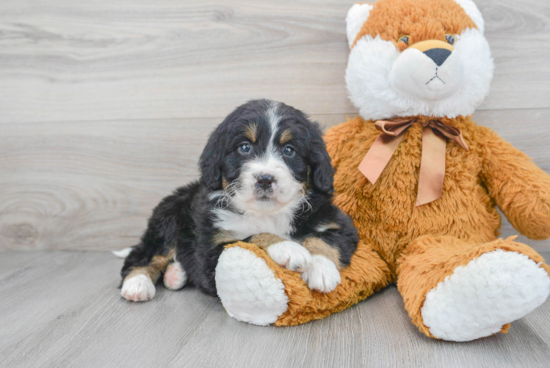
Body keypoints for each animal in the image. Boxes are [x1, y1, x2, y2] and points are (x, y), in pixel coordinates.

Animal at [118, 98, 360, 302]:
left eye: (289, 150)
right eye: (245, 147)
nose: (265, 179)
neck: (267, 214)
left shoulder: (339, 224)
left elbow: (323, 240)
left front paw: (322, 269)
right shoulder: (213, 253)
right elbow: (251, 237)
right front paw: (289, 249)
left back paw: (175, 274)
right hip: (167, 221)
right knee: (144, 255)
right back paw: (137, 284)